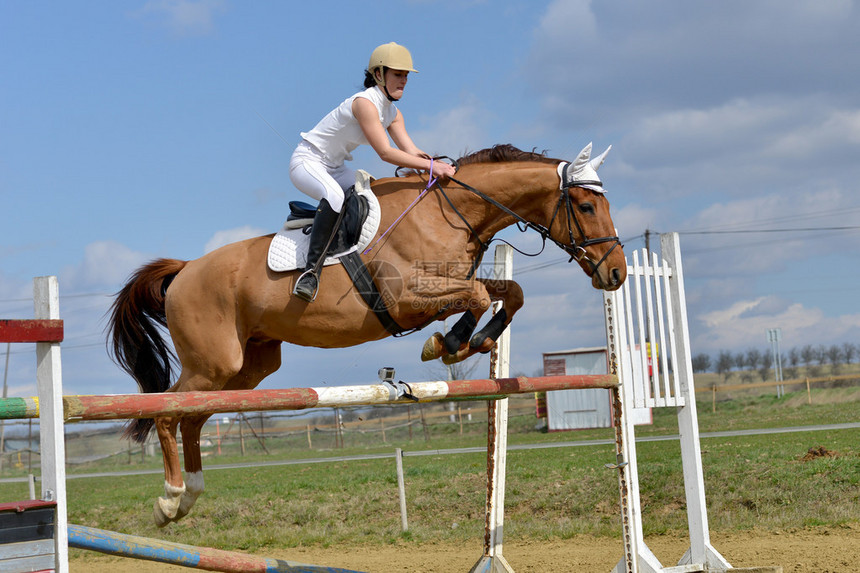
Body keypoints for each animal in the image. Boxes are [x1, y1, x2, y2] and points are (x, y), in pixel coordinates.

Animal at [107, 141, 624, 524]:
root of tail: (185, 269)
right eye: (584, 205)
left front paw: (472, 341)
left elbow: (509, 291)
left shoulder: (446, 287)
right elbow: (479, 295)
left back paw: (189, 496)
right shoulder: (408, 298)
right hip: (214, 363)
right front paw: (449, 345)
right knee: (169, 413)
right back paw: (170, 499)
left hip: (248, 367)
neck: (450, 213)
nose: (616, 273)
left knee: (193, 417)